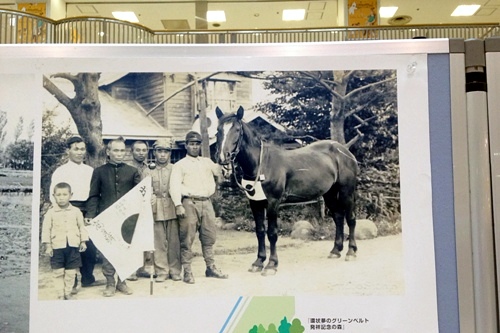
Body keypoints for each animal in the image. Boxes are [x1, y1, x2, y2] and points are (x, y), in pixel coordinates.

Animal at [215, 106, 360, 274]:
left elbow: (272, 233)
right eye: (218, 130)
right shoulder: (255, 203)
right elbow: (259, 231)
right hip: (329, 194)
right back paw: (336, 250)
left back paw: (351, 251)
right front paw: (258, 262)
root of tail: (345, 151)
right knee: (338, 217)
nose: (222, 157)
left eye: (237, 130)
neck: (262, 164)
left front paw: (271, 264)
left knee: (350, 218)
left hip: (346, 192)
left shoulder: (273, 202)